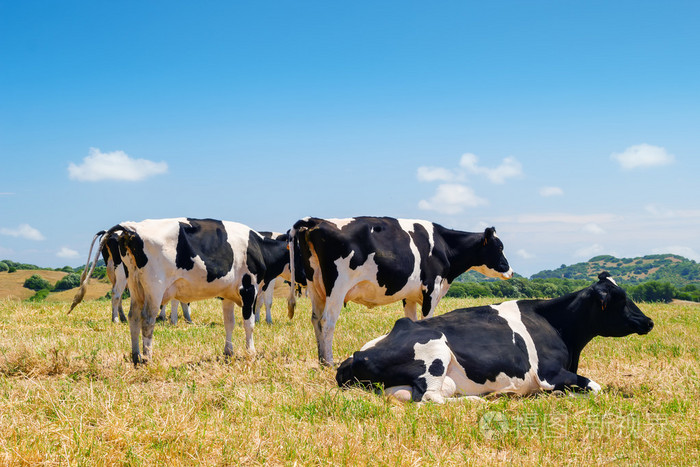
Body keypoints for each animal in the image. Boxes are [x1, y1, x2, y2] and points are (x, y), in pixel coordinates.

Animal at [71, 218, 290, 368]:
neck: (259, 246)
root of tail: (131, 228)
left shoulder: (228, 294)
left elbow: (229, 323)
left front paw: (228, 353)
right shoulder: (249, 288)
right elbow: (249, 324)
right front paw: (251, 352)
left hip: (135, 286)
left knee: (134, 317)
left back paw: (135, 356)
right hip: (154, 286)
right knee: (146, 319)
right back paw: (147, 357)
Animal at [288, 216, 512, 366]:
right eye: (499, 247)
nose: (510, 271)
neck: (444, 245)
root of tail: (315, 221)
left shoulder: (409, 296)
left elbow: (412, 322)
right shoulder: (431, 289)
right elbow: (426, 321)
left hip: (316, 287)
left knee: (316, 319)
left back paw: (321, 359)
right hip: (337, 286)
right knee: (327, 321)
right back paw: (329, 361)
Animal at [336, 272, 652, 404]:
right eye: (621, 299)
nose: (648, 321)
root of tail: (356, 355)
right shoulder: (550, 374)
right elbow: (595, 387)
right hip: (435, 353)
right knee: (430, 398)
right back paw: (481, 401)